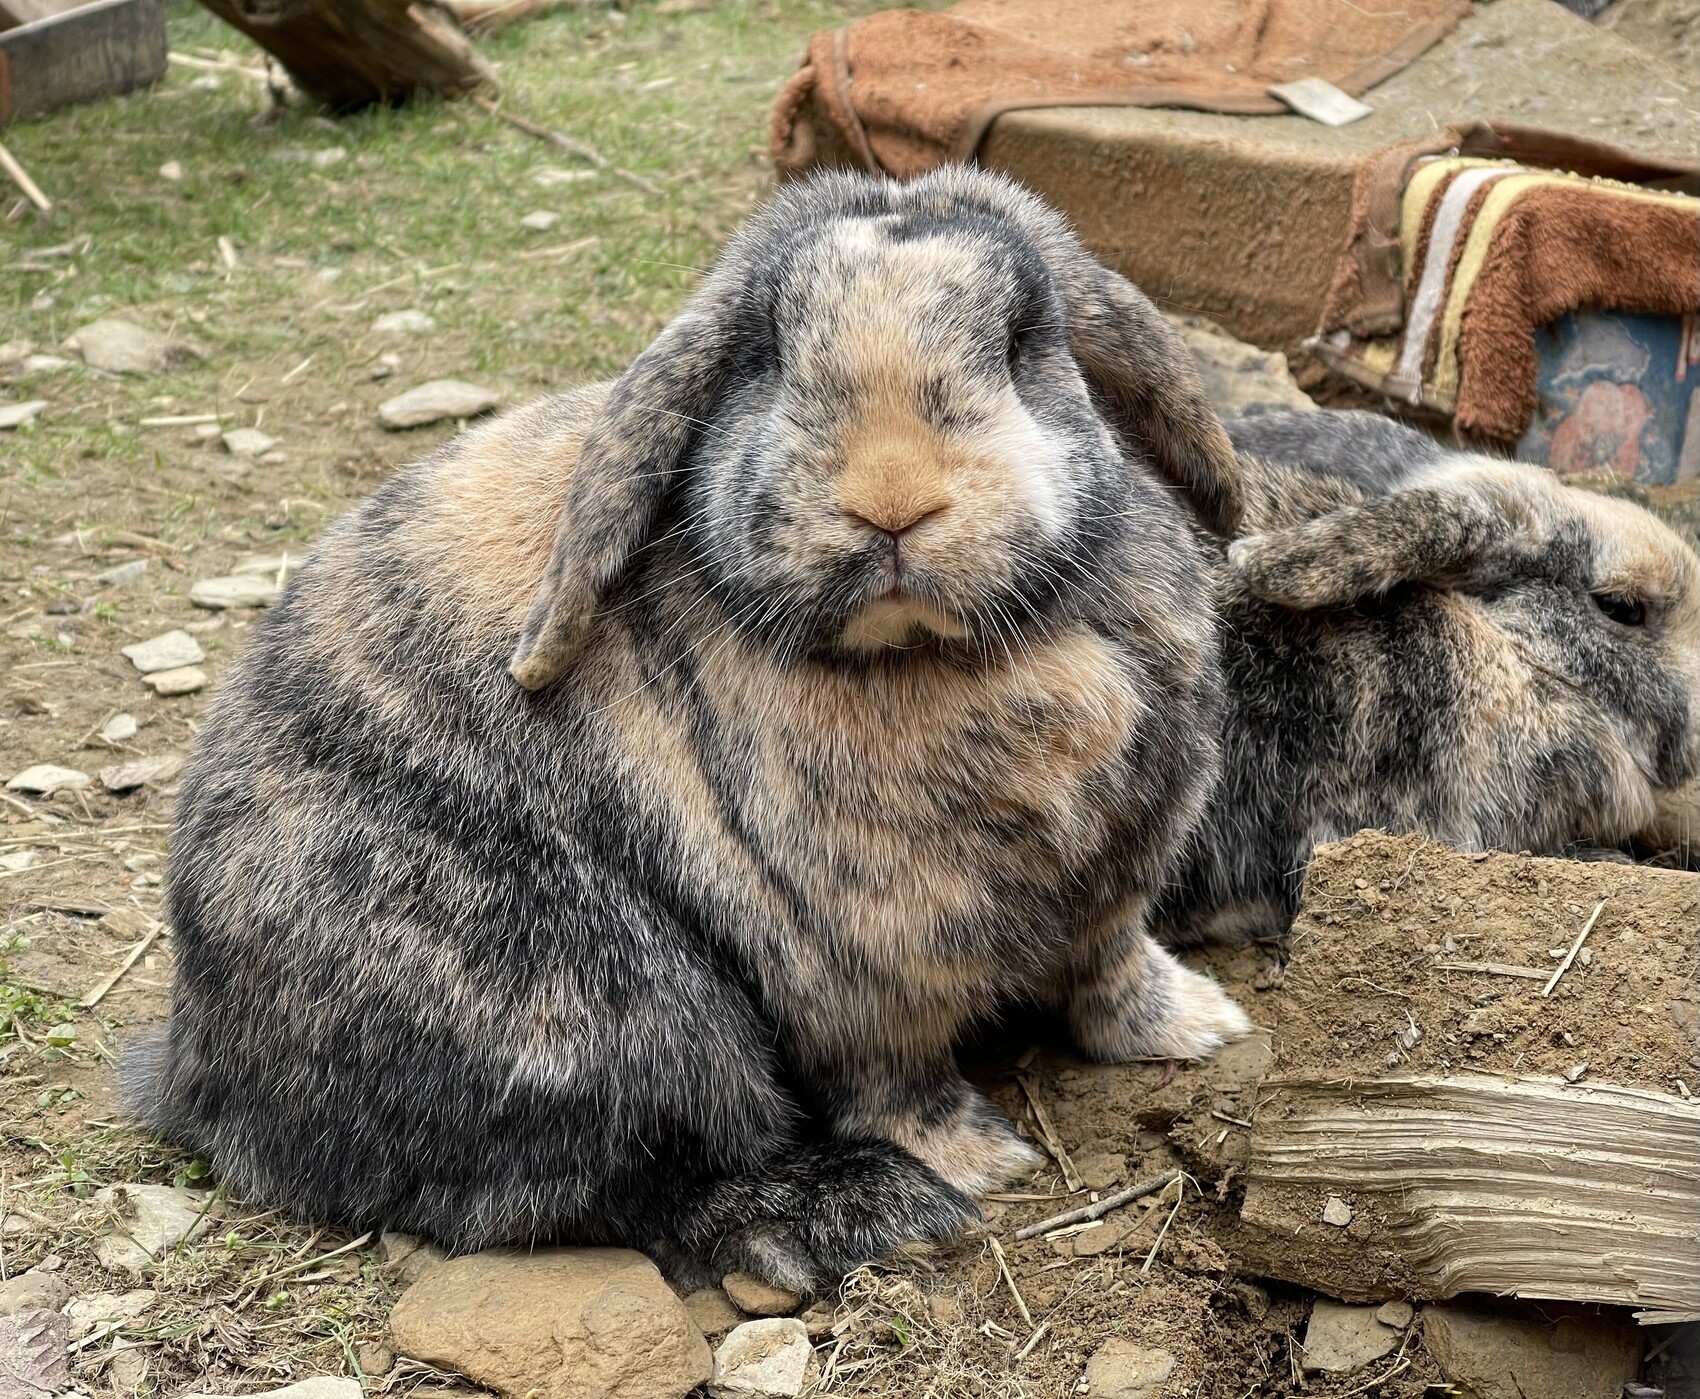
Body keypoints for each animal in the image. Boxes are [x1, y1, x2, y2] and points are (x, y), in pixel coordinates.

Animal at [124, 165, 1253, 1293]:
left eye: (1022, 341)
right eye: (767, 354)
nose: (890, 499)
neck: (922, 655)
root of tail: (198, 1068)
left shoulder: (1111, 890)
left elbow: (1114, 973)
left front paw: (1200, 1028)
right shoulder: (857, 973)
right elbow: (896, 1076)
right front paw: (978, 1160)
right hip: (611, 1015)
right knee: (633, 1179)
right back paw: (868, 1209)